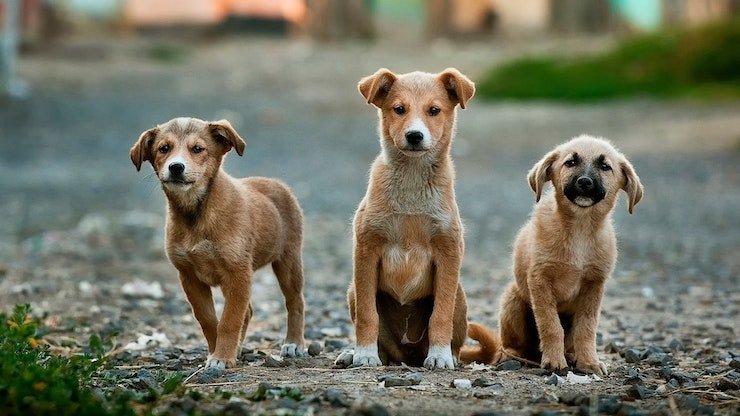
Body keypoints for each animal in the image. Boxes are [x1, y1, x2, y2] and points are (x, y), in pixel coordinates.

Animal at [131, 117, 306, 370]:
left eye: (198, 149)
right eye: (164, 148)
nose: (176, 167)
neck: (196, 214)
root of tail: (276, 183)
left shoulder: (237, 273)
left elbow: (229, 320)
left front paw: (222, 357)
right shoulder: (190, 277)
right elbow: (209, 320)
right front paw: (218, 352)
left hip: (288, 261)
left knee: (295, 301)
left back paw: (294, 343)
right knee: (248, 311)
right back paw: (239, 348)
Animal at [342, 69, 474, 370]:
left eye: (434, 110)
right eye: (399, 109)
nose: (414, 136)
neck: (412, 184)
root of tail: (408, 355)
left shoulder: (449, 251)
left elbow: (440, 314)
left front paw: (439, 355)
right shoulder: (366, 249)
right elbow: (368, 314)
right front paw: (364, 354)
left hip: (460, 295)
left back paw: (449, 355)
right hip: (352, 290)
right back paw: (355, 354)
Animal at [472, 136, 644, 374]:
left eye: (605, 166)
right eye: (570, 162)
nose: (584, 182)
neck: (580, 229)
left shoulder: (594, 285)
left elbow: (587, 328)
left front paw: (589, 362)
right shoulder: (540, 280)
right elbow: (550, 325)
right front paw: (554, 361)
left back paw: (571, 356)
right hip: (512, 300)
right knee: (511, 344)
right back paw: (511, 355)